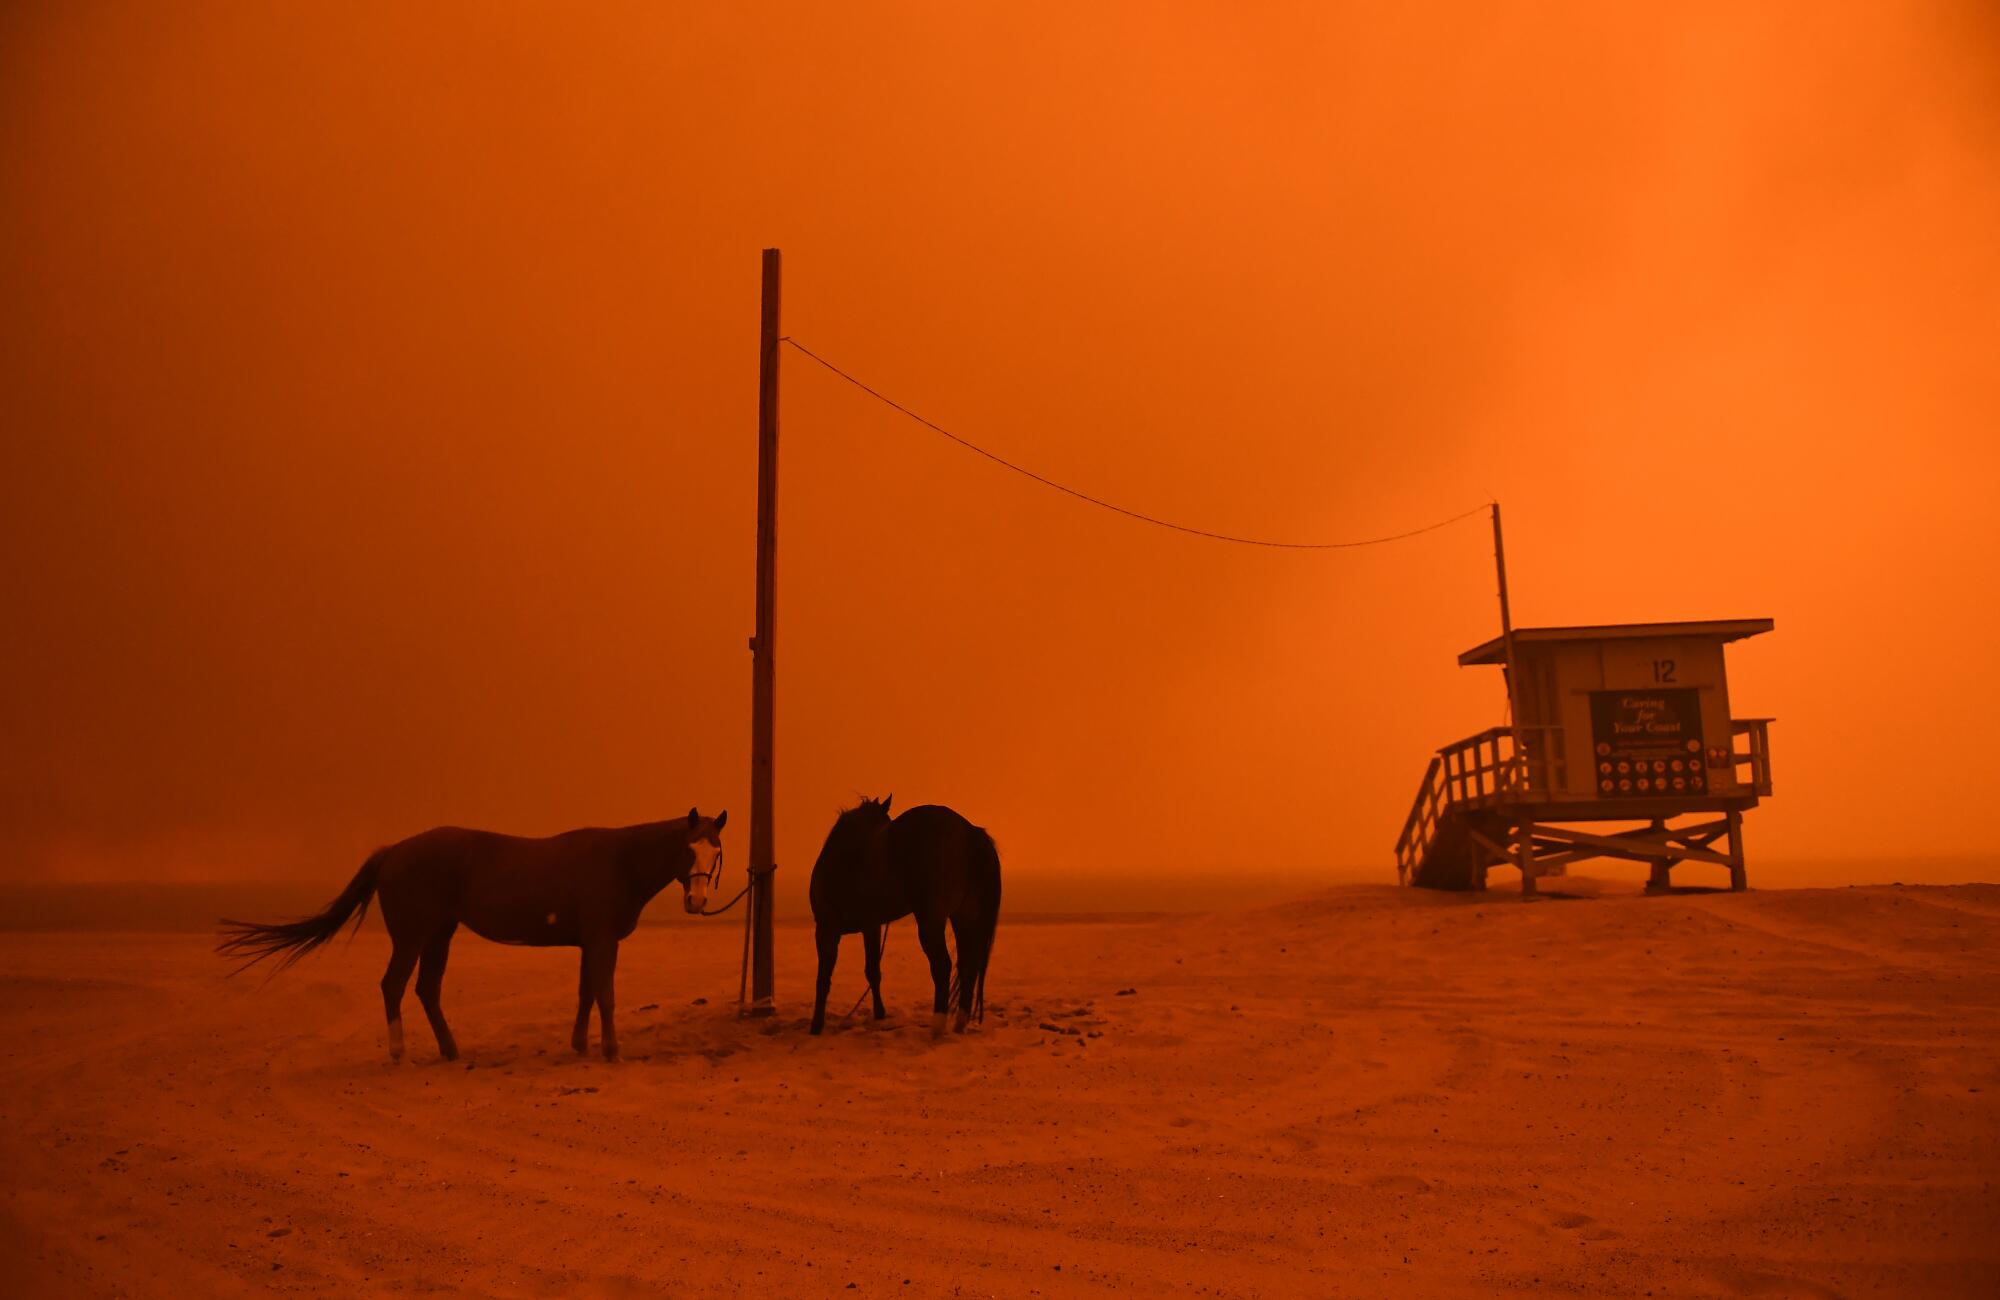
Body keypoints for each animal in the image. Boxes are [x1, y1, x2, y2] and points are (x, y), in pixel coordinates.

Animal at [217, 804, 728, 1056]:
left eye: (716, 850)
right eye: (689, 848)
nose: (697, 901)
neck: (619, 861)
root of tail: (394, 851)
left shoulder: (590, 942)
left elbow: (586, 993)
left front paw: (581, 1046)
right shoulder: (601, 940)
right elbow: (605, 994)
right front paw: (611, 1049)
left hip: (439, 935)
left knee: (426, 989)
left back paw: (450, 1050)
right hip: (412, 936)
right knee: (394, 985)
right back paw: (400, 1052)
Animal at [808, 788, 1000, 1032]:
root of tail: (969, 832)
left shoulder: (826, 929)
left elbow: (823, 979)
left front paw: (816, 1025)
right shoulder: (871, 927)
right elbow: (872, 971)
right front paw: (880, 1014)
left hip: (930, 920)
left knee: (942, 965)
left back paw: (937, 1025)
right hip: (963, 917)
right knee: (968, 964)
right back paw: (960, 1023)